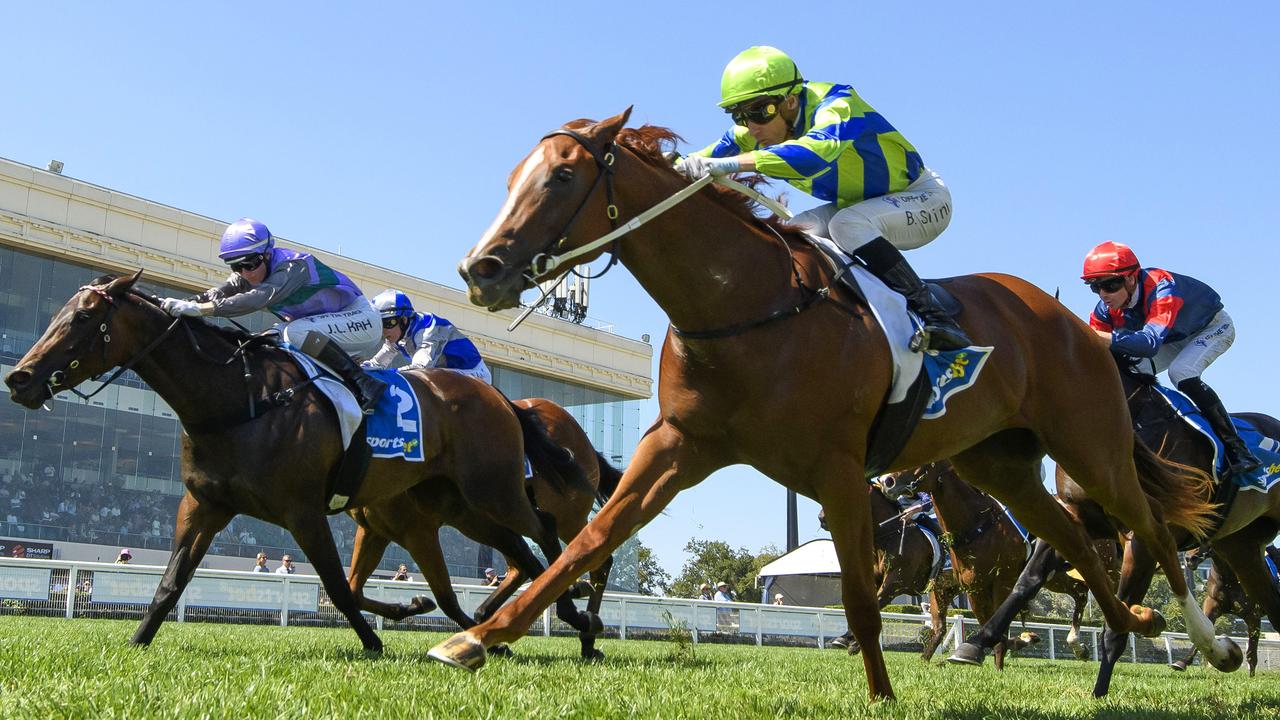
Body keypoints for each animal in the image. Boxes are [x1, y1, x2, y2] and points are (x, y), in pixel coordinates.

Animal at [1, 272, 599, 650]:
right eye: (59, 312)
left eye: (83, 319)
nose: (20, 378)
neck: (240, 401)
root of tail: (502, 398)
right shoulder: (204, 504)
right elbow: (171, 582)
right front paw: (137, 642)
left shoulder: (305, 511)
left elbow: (337, 587)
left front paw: (374, 642)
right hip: (464, 505)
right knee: (520, 549)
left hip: (493, 489)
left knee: (546, 533)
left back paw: (576, 615)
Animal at [340, 394, 619, 661]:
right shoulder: (374, 530)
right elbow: (353, 590)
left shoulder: (418, 531)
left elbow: (447, 599)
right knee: (522, 566)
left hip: (560, 513)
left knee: (593, 558)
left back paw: (586, 635)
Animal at [442, 109, 1239, 696]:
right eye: (515, 177)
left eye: (561, 176)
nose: (481, 270)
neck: (747, 304)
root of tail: (1079, 325)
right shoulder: (679, 444)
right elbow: (588, 541)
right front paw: (476, 637)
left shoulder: (838, 468)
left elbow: (860, 597)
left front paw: (882, 695)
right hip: (1000, 463)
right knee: (1070, 541)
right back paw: (1126, 619)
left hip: (1090, 443)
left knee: (1151, 530)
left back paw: (1211, 643)